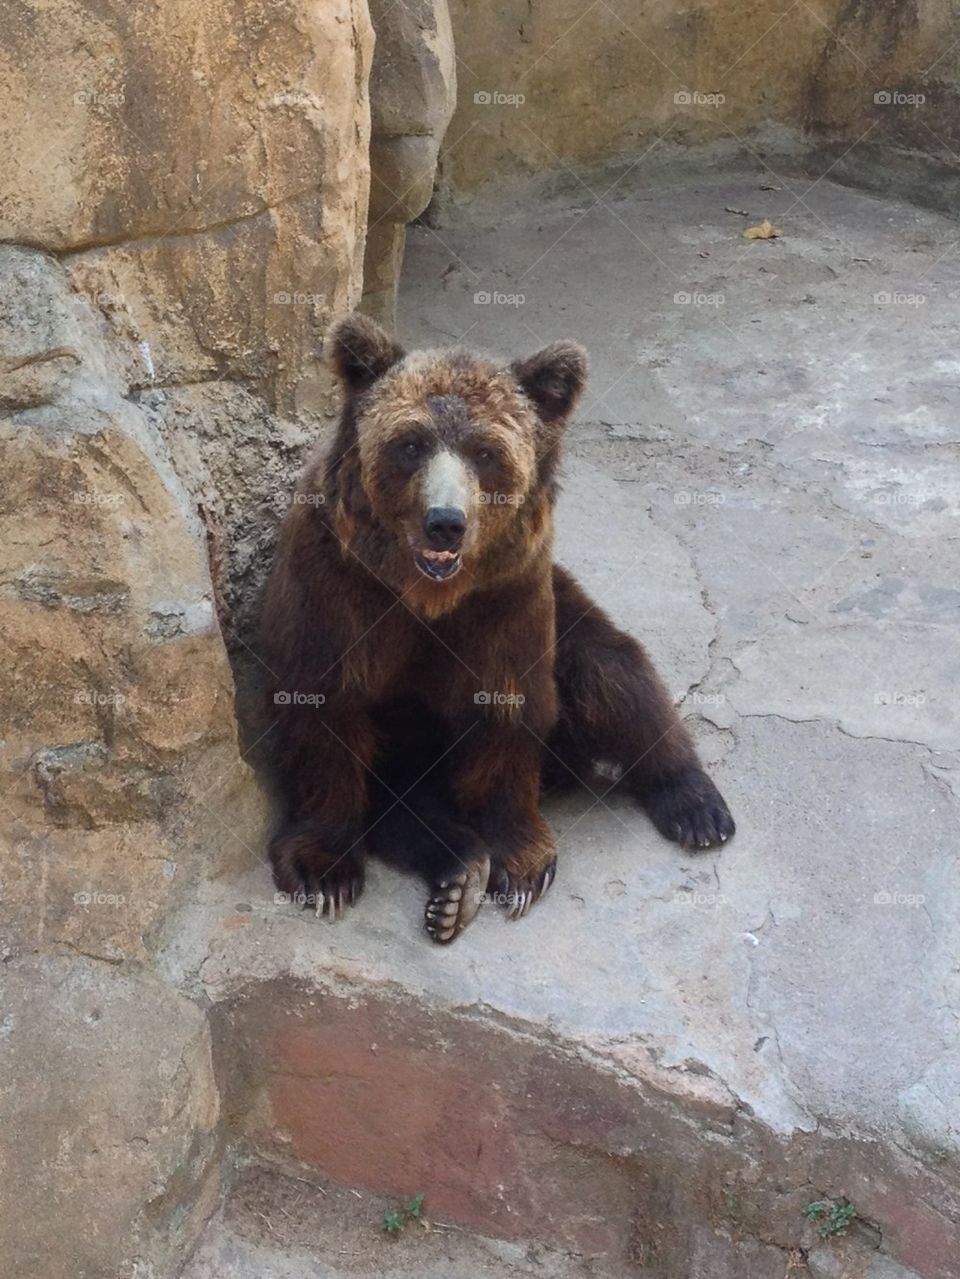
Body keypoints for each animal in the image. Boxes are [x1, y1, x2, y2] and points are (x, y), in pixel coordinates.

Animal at [259, 314, 734, 943]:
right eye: (410, 443)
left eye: (485, 452)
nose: (445, 522)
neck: (427, 597)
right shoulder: (337, 588)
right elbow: (323, 706)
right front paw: (324, 871)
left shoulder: (507, 598)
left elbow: (507, 709)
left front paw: (522, 862)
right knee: (403, 807)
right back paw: (459, 872)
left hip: (567, 613)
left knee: (613, 671)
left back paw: (696, 806)